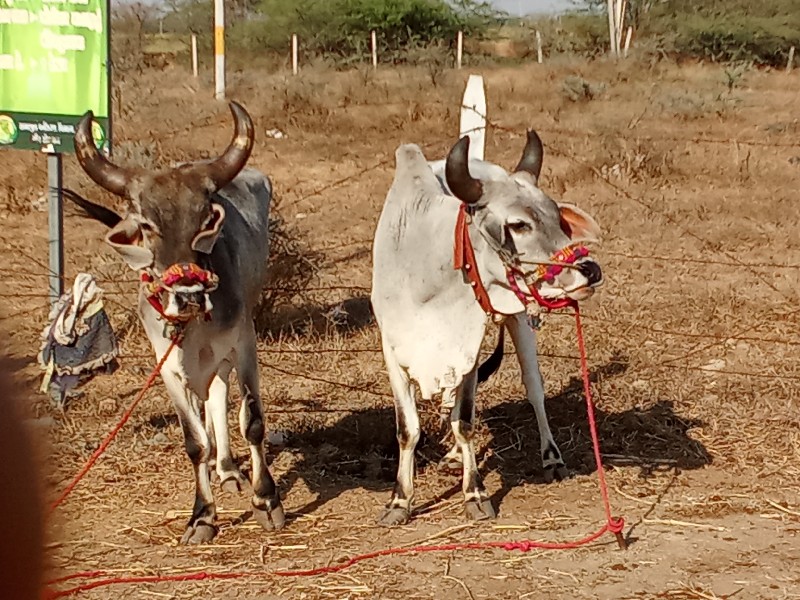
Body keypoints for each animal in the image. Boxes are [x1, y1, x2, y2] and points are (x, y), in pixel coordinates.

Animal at [66, 103, 284, 544]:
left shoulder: (243, 343)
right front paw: (202, 517)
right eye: (147, 225)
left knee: (219, 396)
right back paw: (222, 467)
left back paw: (230, 470)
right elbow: (194, 441)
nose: (188, 295)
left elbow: (252, 421)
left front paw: (267, 500)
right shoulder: (167, 365)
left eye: (203, 219)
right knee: (208, 405)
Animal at [372, 131, 604, 524]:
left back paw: (551, 458)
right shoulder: (393, 348)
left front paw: (476, 494)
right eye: (518, 225)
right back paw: (452, 457)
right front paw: (399, 500)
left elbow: (464, 421)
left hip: (518, 319)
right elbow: (408, 429)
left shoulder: (468, 343)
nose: (589, 270)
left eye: (557, 219)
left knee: (534, 390)